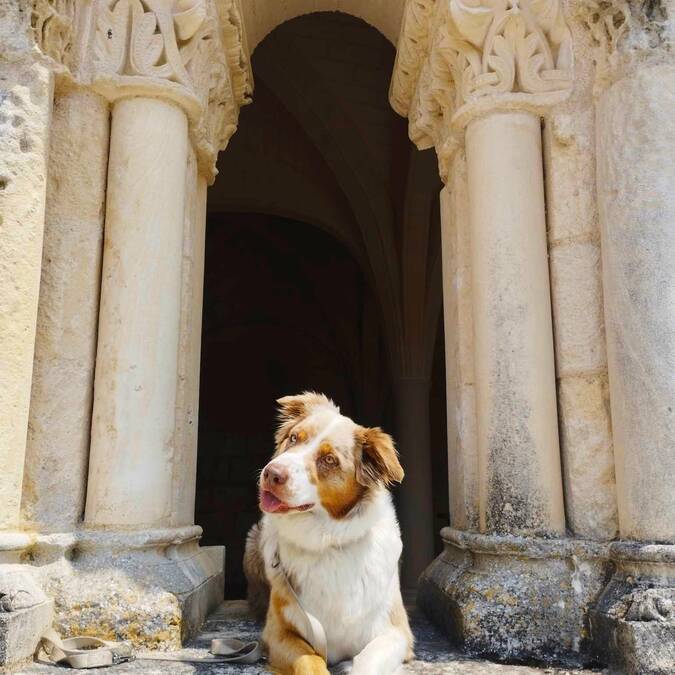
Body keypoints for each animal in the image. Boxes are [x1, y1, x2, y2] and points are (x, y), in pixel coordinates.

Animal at [243, 394, 412, 672]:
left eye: (329, 460)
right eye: (294, 438)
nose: (271, 473)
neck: (327, 543)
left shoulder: (397, 633)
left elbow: (366, 661)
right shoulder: (277, 633)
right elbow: (309, 660)